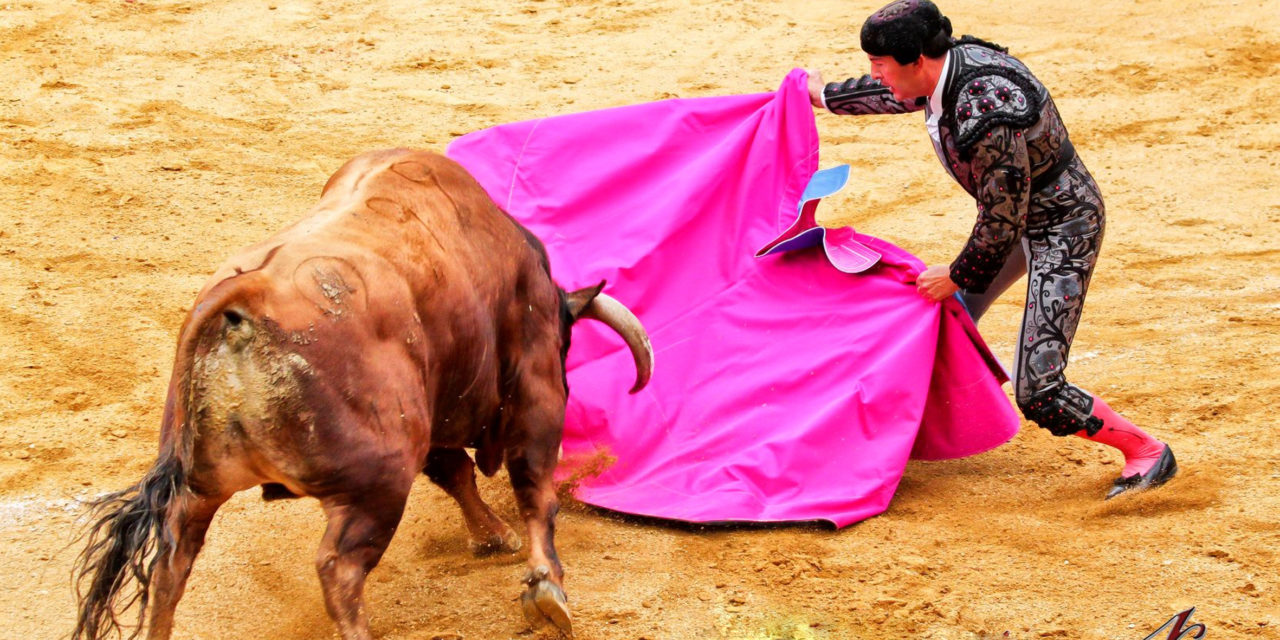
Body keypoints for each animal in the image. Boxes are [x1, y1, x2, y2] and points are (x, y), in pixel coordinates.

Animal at [70, 148, 650, 640]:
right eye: (565, 345)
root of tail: (246, 296)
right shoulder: (533, 383)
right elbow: (532, 487)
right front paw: (546, 587)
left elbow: (455, 471)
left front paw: (492, 538)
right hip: (379, 482)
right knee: (339, 568)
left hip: (200, 484)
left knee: (173, 559)